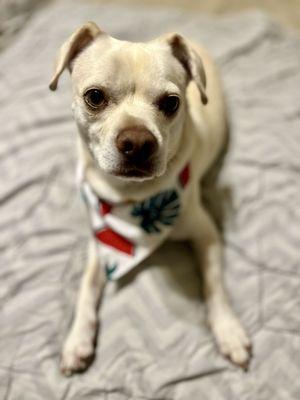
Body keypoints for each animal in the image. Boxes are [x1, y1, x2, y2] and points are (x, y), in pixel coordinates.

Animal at [49, 21, 251, 376]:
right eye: (94, 97)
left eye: (171, 103)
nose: (138, 142)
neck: (133, 199)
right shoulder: (100, 242)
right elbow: (87, 289)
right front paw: (77, 339)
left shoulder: (207, 235)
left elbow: (214, 284)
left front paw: (228, 329)